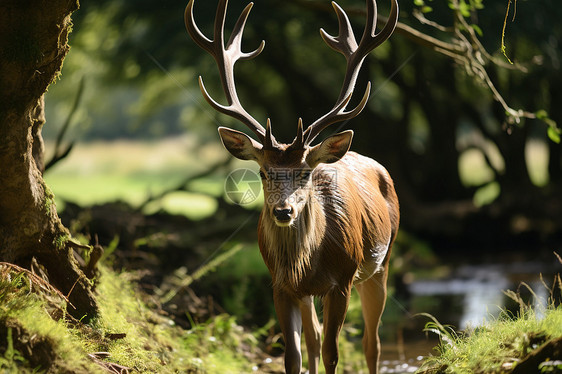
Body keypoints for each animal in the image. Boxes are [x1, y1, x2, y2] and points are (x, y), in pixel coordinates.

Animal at [184, 0, 398, 372]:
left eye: (305, 173)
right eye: (263, 172)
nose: (283, 211)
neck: (308, 262)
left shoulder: (342, 281)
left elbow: (332, 352)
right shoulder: (280, 285)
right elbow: (293, 354)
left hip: (381, 261)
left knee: (372, 343)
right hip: (312, 290)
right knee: (313, 339)